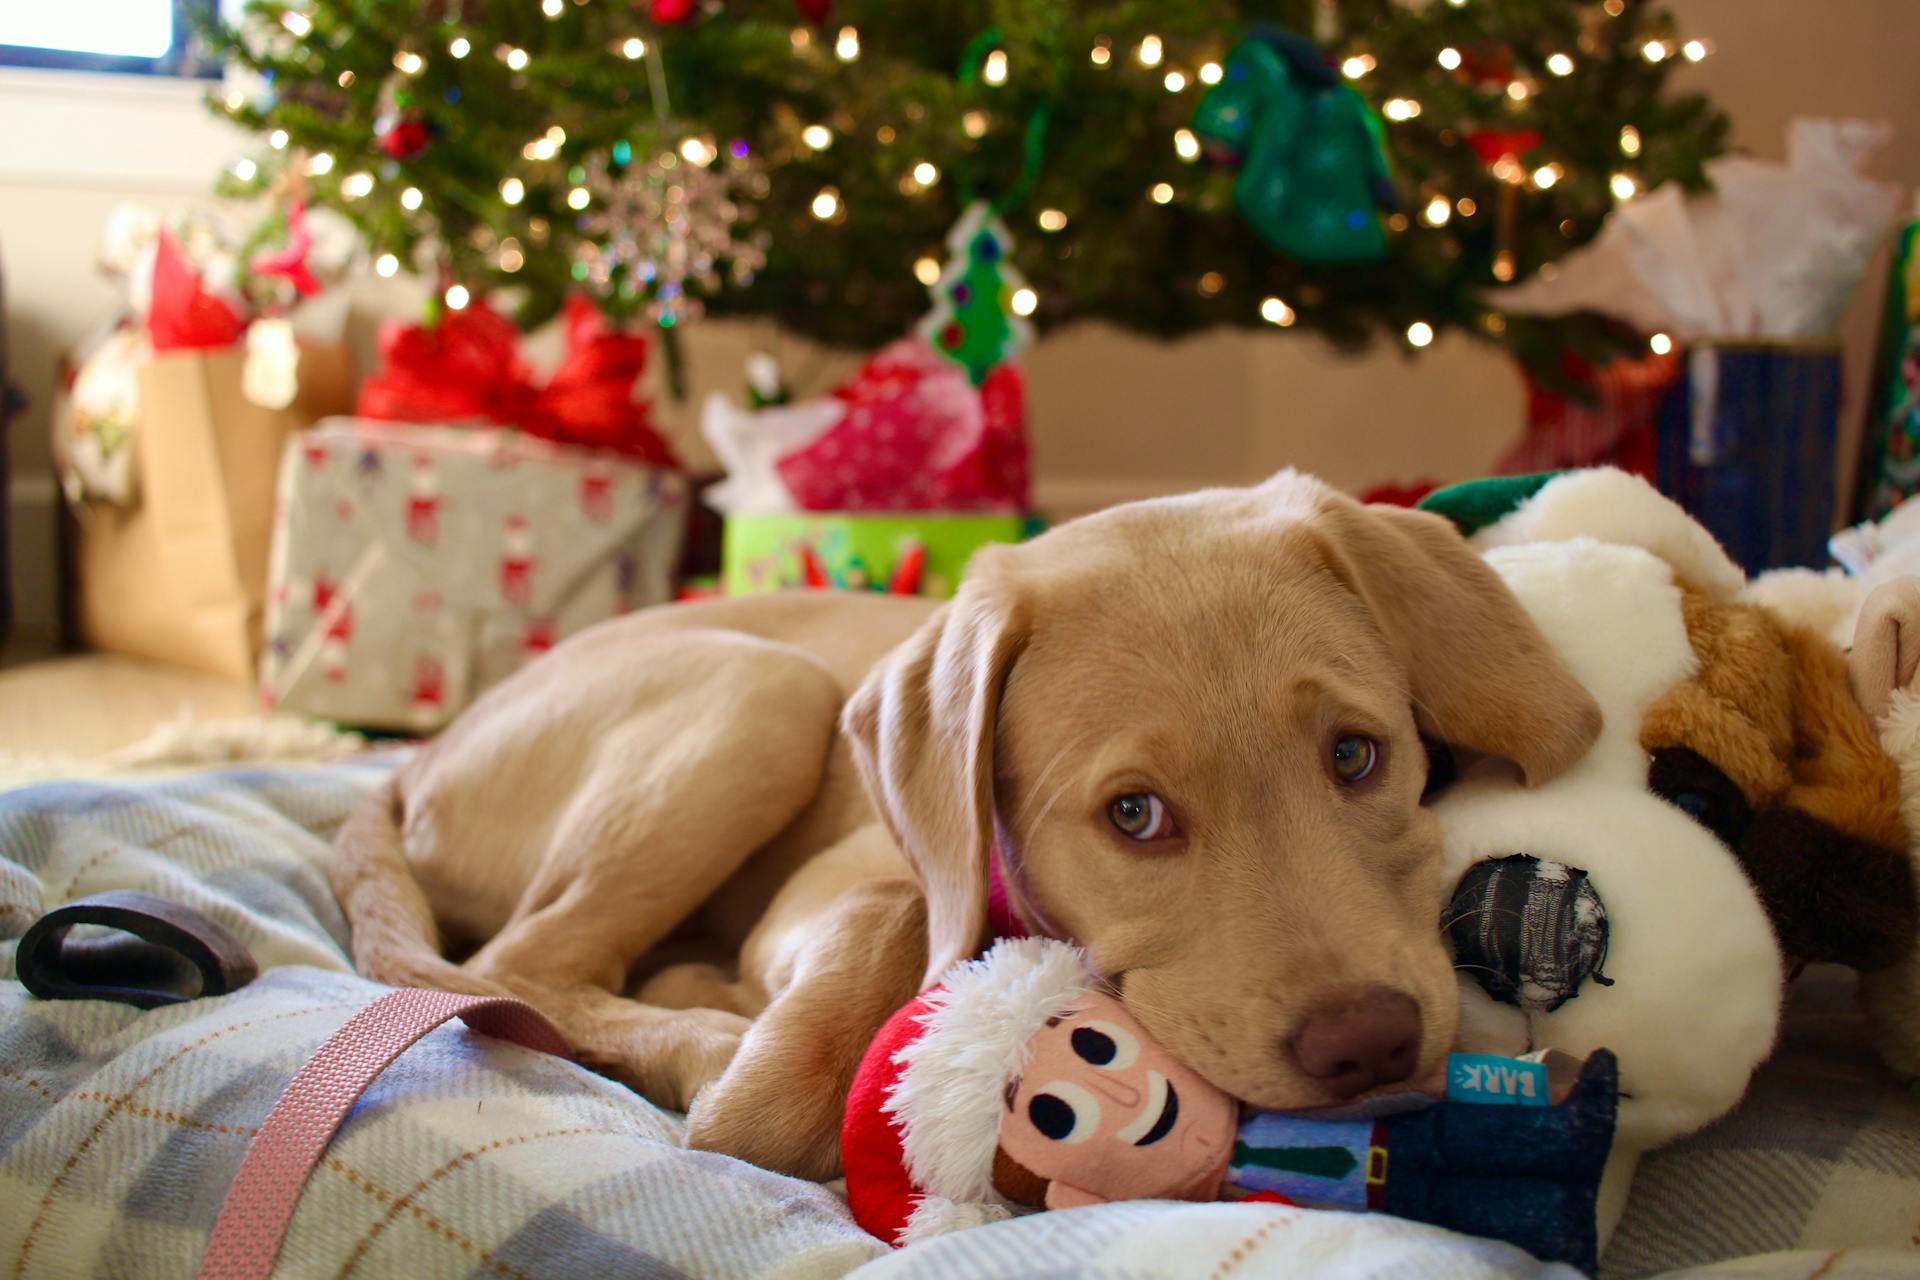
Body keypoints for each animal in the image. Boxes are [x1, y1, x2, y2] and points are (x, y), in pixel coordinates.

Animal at [326, 474, 1589, 1182]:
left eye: (1356, 754)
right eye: (1134, 814)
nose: (1366, 1043)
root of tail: (415, 759)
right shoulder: (855, 885)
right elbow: (885, 934)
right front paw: (765, 1070)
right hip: (764, 692)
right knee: (523, 962)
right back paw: (699, 1029)